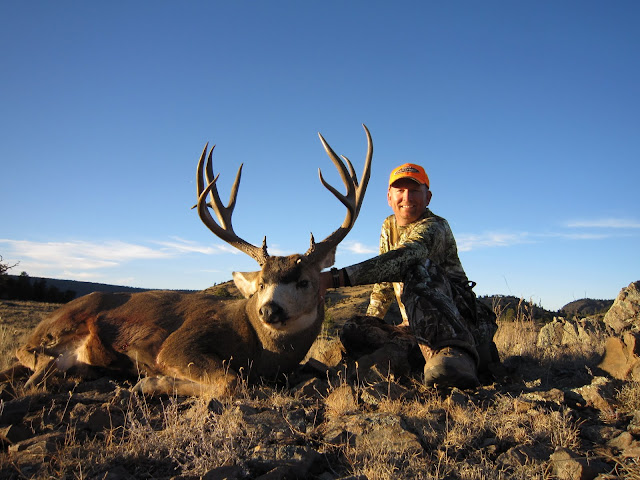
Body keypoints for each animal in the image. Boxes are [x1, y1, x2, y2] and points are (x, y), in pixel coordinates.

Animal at [1, 124, 370, 398]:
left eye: (304, 281)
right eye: (262, 282)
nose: (269, 310)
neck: (257, 349)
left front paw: (148, 381)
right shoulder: (179, 343)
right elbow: (230, 381)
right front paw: (150, 381)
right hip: (67, 317)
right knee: (26, 352)